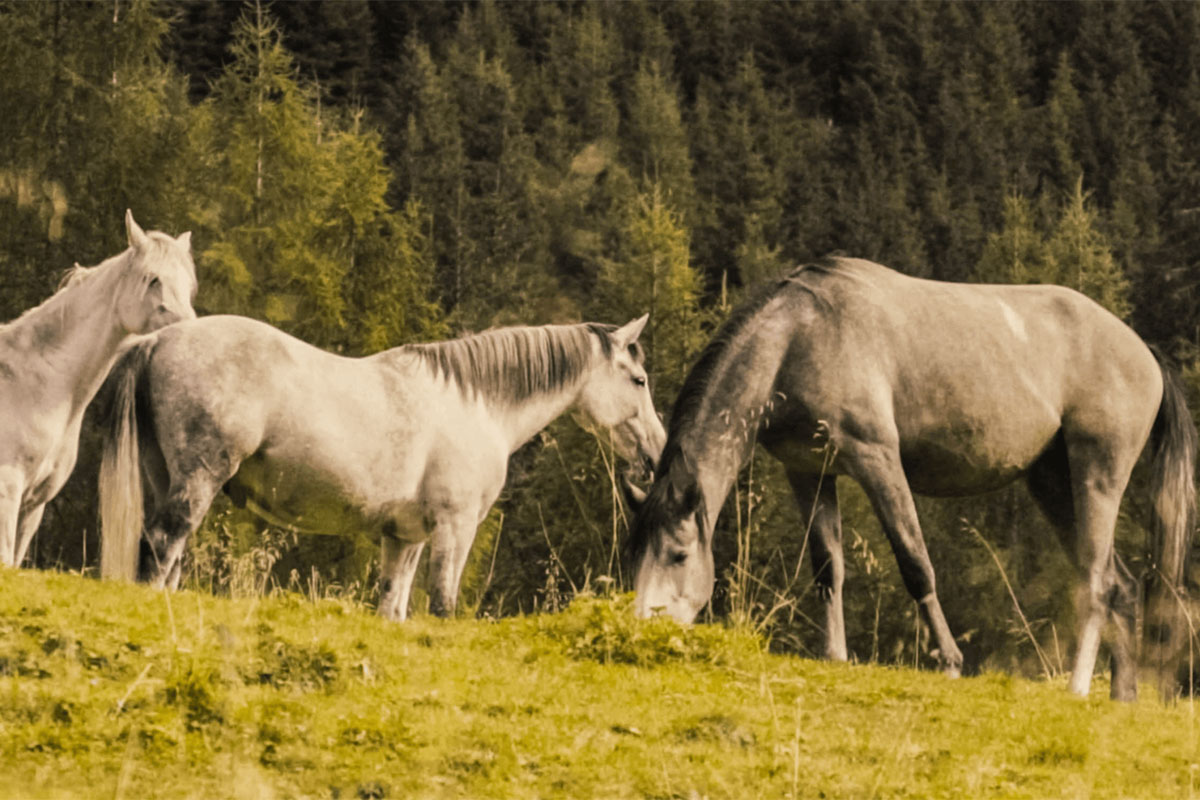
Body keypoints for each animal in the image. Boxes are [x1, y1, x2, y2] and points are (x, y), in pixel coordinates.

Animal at [96, 311, 667, 618]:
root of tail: (156, 340)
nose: (656, 454)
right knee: (163, 545)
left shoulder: (405, 537)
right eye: (638, 380)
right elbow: (442, 605)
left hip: (167, 479)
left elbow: (393, 607)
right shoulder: (454, 528)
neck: (476, 405)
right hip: (199, 479)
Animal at [624, 257, 1195, 700]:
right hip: (1052, 483)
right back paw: (1122, 695)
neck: (800, 336)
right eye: (634, 554)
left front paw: (950, 660)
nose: (642, 629)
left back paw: (1077, 687)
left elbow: (915, 563)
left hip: (1098, 475)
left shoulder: (877, 458)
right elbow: (827, 567)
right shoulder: (808, 471)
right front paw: (835, 654)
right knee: (1121, 584)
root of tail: (1144, 352)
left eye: (678, 555)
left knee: (1097, 583)